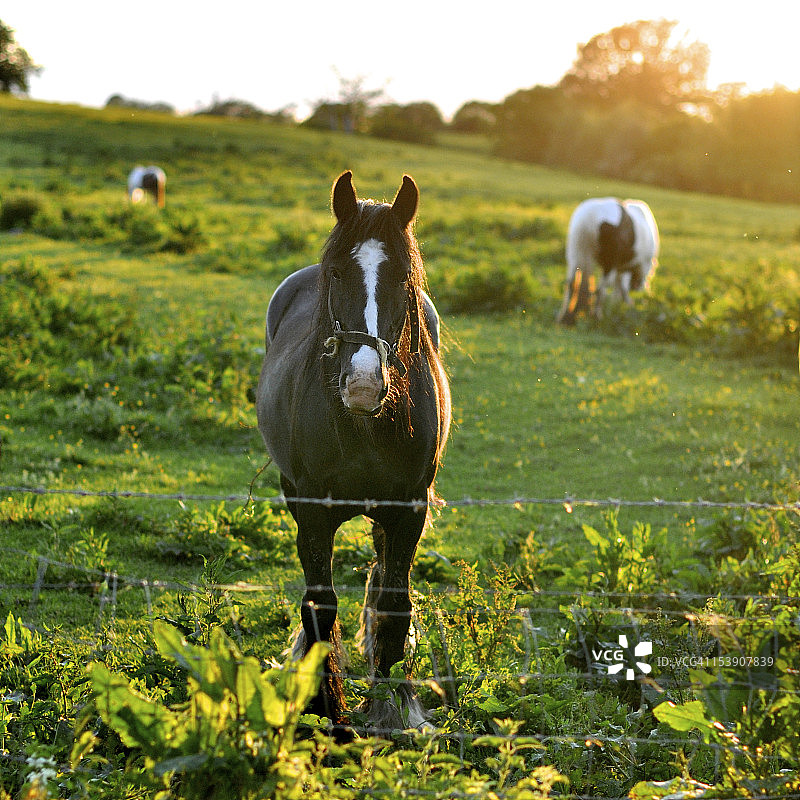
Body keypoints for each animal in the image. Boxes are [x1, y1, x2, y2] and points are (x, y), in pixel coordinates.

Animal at [256, 171, 451, 739]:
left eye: (404, 276)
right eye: (338, 271)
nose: (363, 383)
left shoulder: (408, 508)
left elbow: (393, 608)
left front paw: (389, 712)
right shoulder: (313, 511)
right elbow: (320, 607)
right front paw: (330, 715)